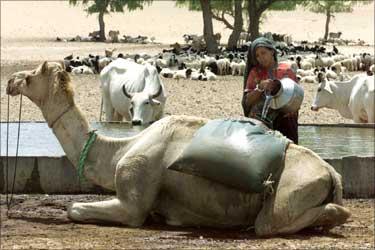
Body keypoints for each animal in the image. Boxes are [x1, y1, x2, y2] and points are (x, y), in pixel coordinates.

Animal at [6, 61, 352, 235]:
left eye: (33, 74)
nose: (10, 80)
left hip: (286, 198)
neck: (118, 151)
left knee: (273, 222)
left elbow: (75, 208)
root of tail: (332, 173)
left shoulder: (133, 195)